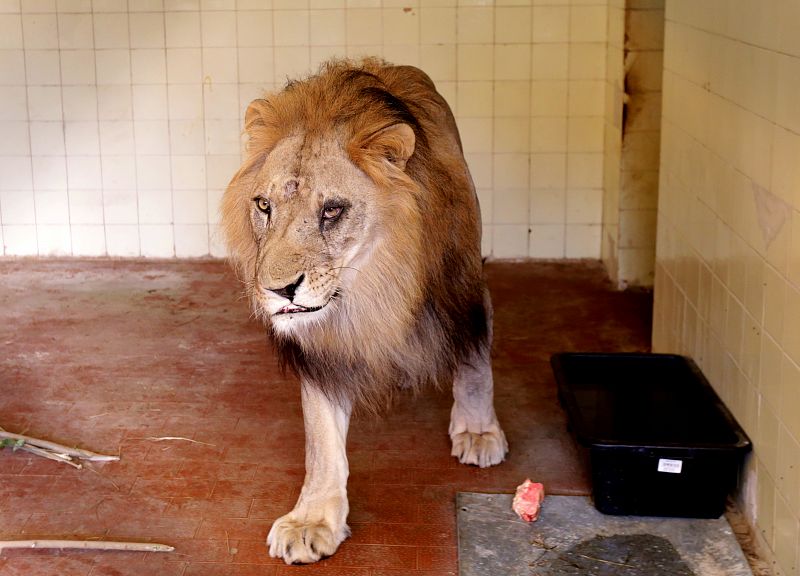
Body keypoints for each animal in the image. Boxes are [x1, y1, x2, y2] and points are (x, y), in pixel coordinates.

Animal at [219, 58, 506, 564]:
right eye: (263, 205)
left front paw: (477, 430)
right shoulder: (322, 347)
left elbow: (474, 357)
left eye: (332, 210)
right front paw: (312, 520)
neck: (373, 283)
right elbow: (322, 441)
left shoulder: (463, 287)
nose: (277, 290)